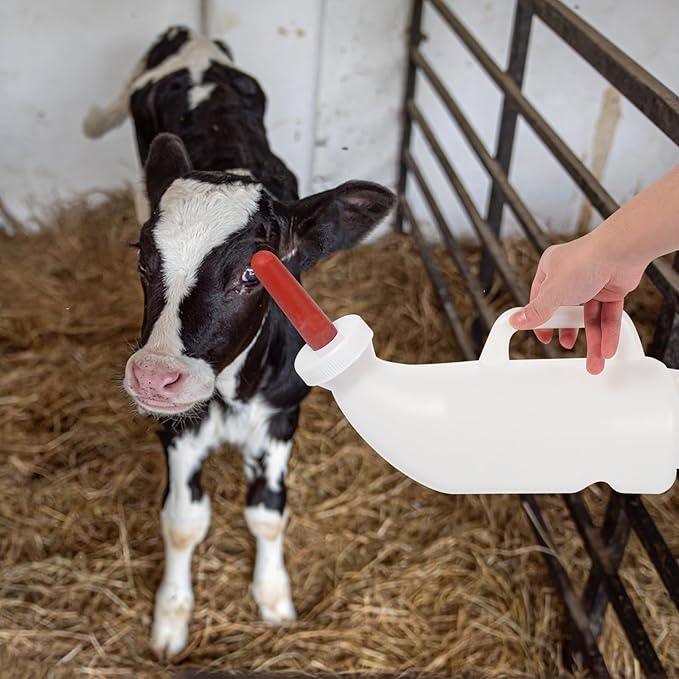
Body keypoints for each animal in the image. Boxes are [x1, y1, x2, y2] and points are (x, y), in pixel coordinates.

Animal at [83, 26, 395, 657]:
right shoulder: (177, 428)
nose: (153, 376)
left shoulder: (282, 415)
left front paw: (273, 598)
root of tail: (191, 36)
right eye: (144, 262)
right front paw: (171, 618)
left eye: (253, 274)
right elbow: (183, 521)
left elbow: (268, 513)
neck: (232, 390)